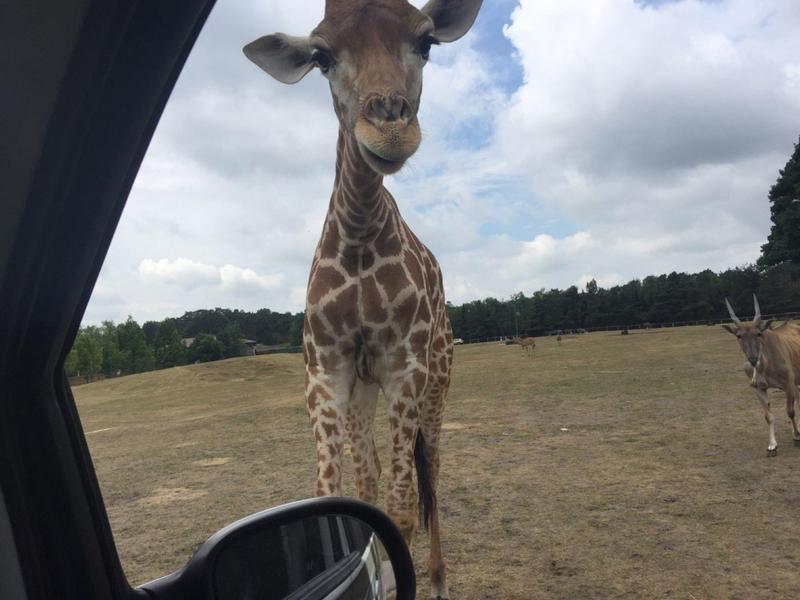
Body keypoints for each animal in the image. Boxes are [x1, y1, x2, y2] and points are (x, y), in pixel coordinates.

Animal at [244, 1, 482, 598]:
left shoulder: (404, 365)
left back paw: (439, 578)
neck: (356, 233)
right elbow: (338, 493)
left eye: (426, 43)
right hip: (364, 389)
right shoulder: (327, 368)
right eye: (322, 56)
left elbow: (402, 506)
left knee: (431, 475)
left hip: (437, 382)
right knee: (372, 475)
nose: (389, 127)